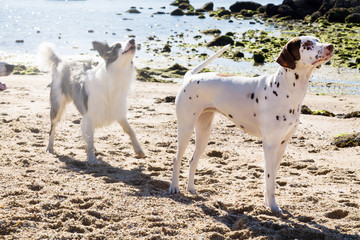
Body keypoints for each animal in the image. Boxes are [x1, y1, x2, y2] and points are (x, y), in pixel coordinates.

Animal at [170, 36, 334, 212]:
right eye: (307, 44)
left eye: (317, 39)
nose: (330, 46)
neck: (286, 89)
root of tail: (190, 78)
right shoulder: (270, 145)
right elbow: (270, 180)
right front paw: (273, 206)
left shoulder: (282, 144)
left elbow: (271, 178)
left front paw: (267, 202)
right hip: (185, 129)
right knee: (176, 159)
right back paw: (174, 187)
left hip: (204, 133)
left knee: (192, 161)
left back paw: (191, 189)